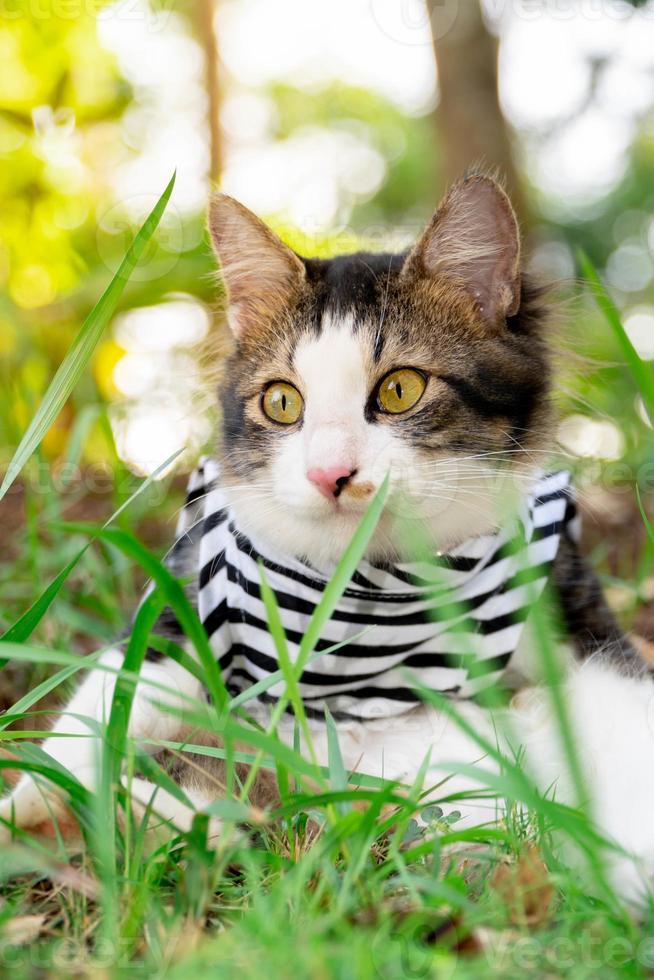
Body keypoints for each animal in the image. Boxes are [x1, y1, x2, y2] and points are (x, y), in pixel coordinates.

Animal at [1, 172, 654, 908]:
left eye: (400, 390)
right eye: (282, 402)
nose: (329, 473)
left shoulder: (582, 622)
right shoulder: (186, 603)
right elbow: (102, 708)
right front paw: (31, 803)